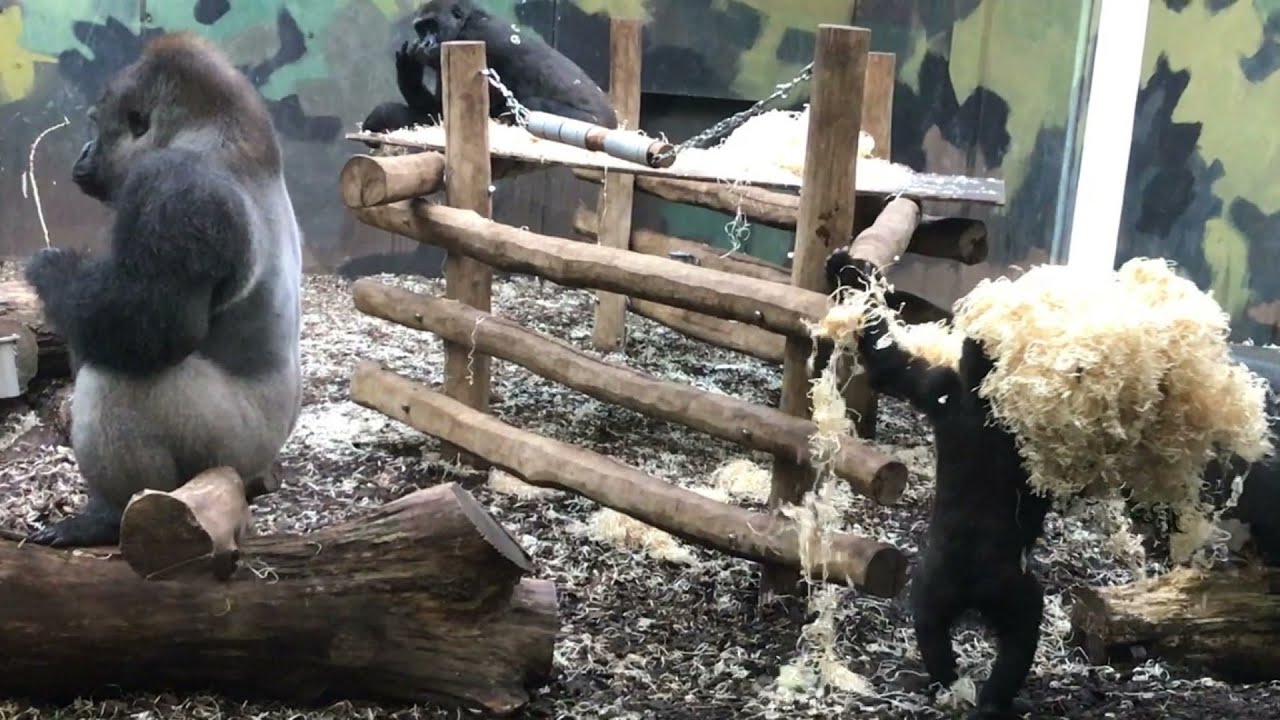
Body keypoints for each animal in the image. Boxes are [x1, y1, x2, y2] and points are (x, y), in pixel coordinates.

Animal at [21, 31, 304, 548]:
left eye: (97, 124)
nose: (83, 152)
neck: (210, 127)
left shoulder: (174, 189)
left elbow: (151, 327)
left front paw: (51, 270)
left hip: (232, 446)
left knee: (118, 381)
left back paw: (109, 514)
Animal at [362, 0, 618, 139]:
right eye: (421, 29)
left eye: (432, 25)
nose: (425, 44)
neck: (468, 20)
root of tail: (617, 123)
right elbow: (433, 111)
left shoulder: (469, 39)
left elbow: (439, 114)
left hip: (595, 124)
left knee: (533, 105)